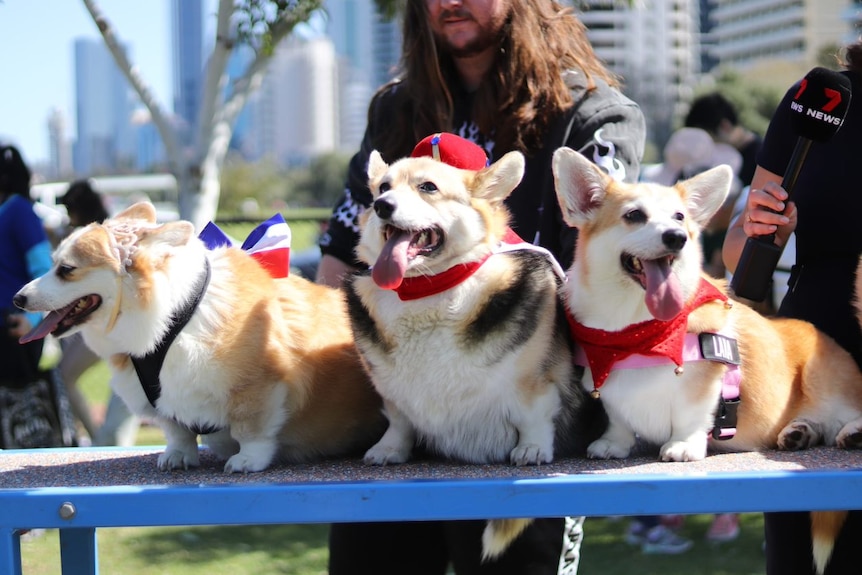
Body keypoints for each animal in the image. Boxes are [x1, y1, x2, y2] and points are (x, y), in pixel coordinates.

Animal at [12, 202, 384, 472]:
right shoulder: (164, 402)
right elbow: (177, 431)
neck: (172, 321)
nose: (18, 299)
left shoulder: (259, 386)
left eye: (66, 270)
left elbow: (252, 428)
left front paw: (247, 460)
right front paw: (178, 456)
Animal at [552, 147, 862, 572]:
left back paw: (851, 432)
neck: (634, 331)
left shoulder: (703, 384)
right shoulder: (609, 387)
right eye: (634, 215)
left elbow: (691, 416)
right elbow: (618, 419)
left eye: (680, 217)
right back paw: (799, 432)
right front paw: (613, 444)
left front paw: (683, 447)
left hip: (826, 380)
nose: (677, 238)